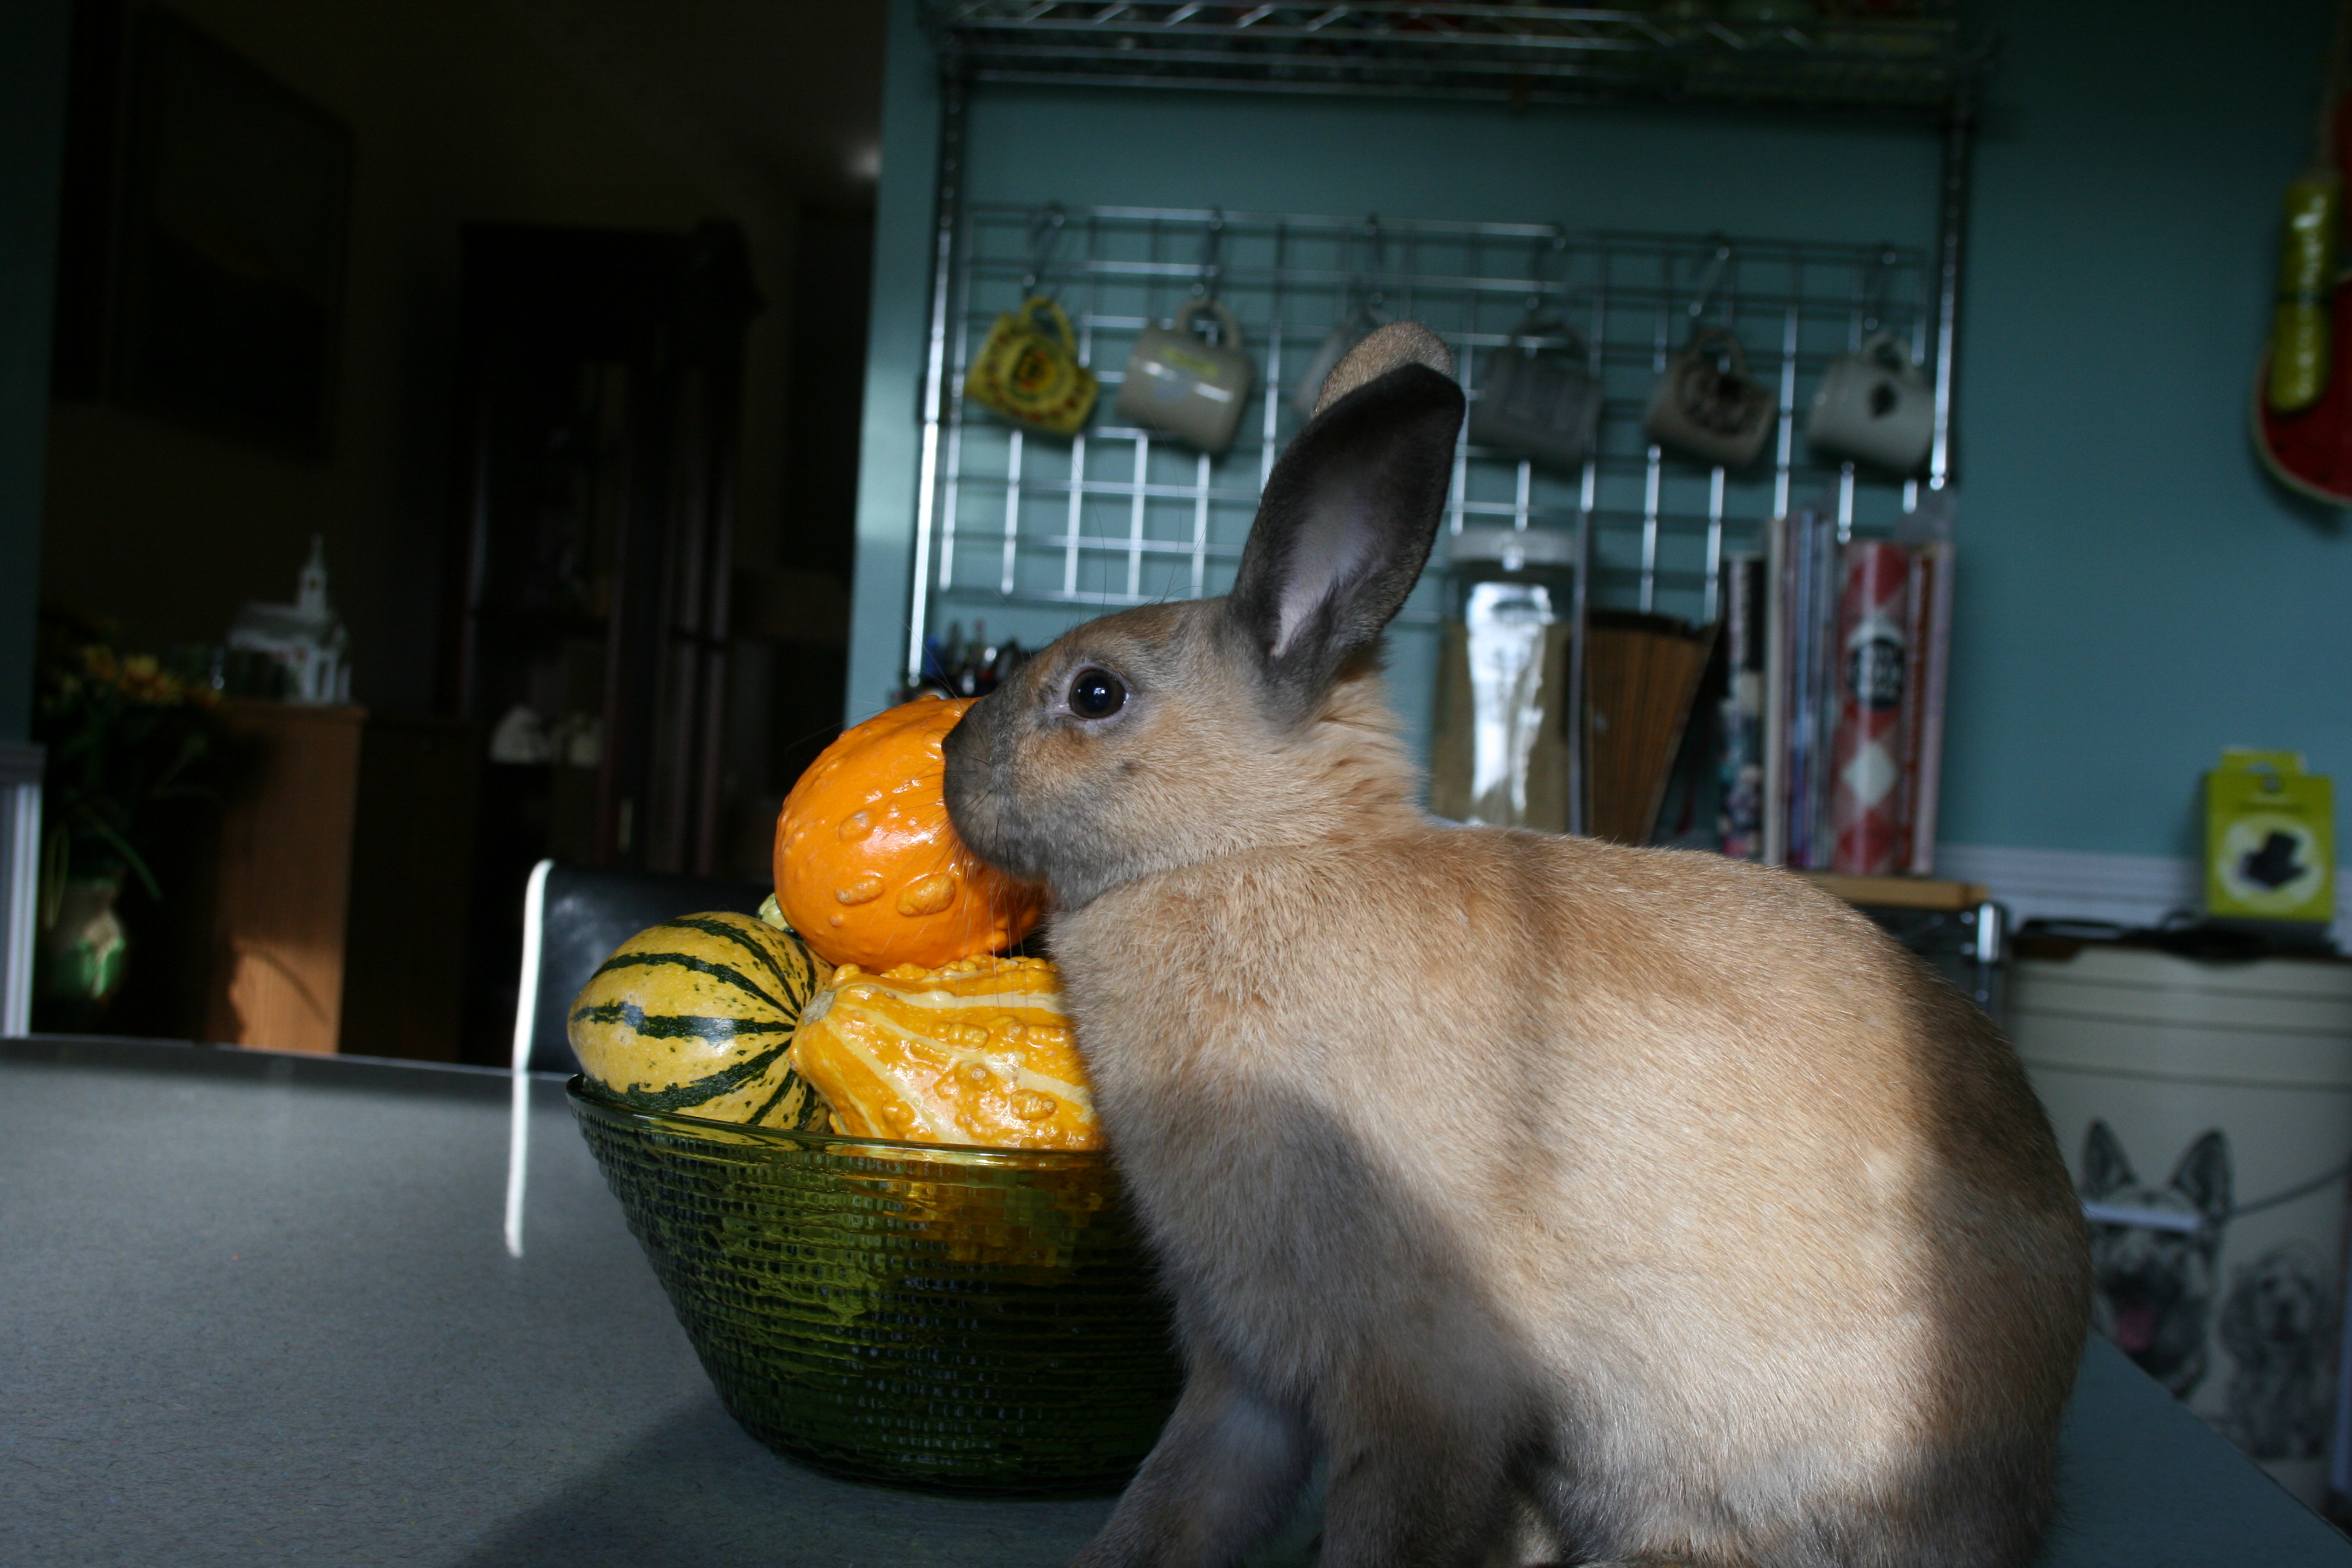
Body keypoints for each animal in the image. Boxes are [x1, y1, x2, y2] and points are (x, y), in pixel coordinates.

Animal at [941, 322, 2091, 1568]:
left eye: (1096, 693)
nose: (950, 756)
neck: (1246, 856)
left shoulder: (1423, 1387)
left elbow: (1384, 1533)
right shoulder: (1247, 1379)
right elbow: (1173, 1504)